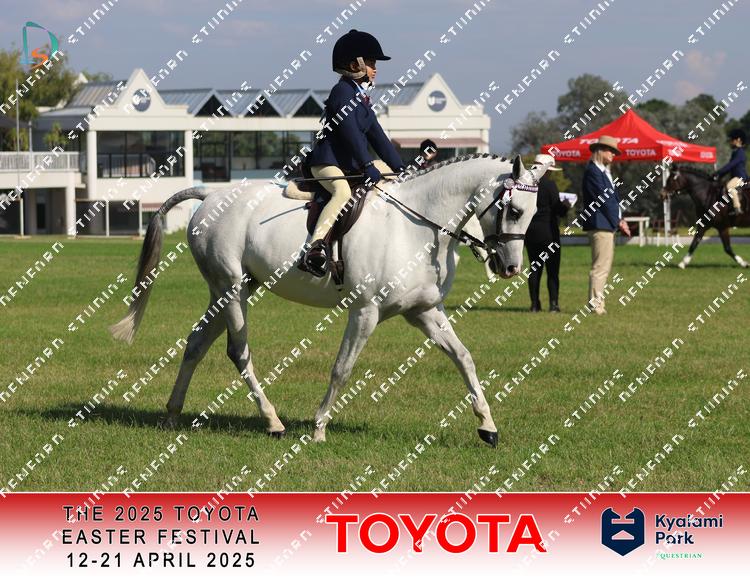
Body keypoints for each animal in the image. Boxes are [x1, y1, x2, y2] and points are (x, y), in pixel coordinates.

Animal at [110, 153, 554, 447]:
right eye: (514, 210)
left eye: (535, 212)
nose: (510, 267)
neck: (418, 226)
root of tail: (210, 196)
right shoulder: (366, 312)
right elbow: (342, 369)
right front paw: (320, 427)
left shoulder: (425, 312)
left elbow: (464, 358)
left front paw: (488, 427)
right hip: (231, 289)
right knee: (238, 352)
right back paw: (272, 421)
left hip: (233, 289)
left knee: (196, 343)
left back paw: (172, 414)